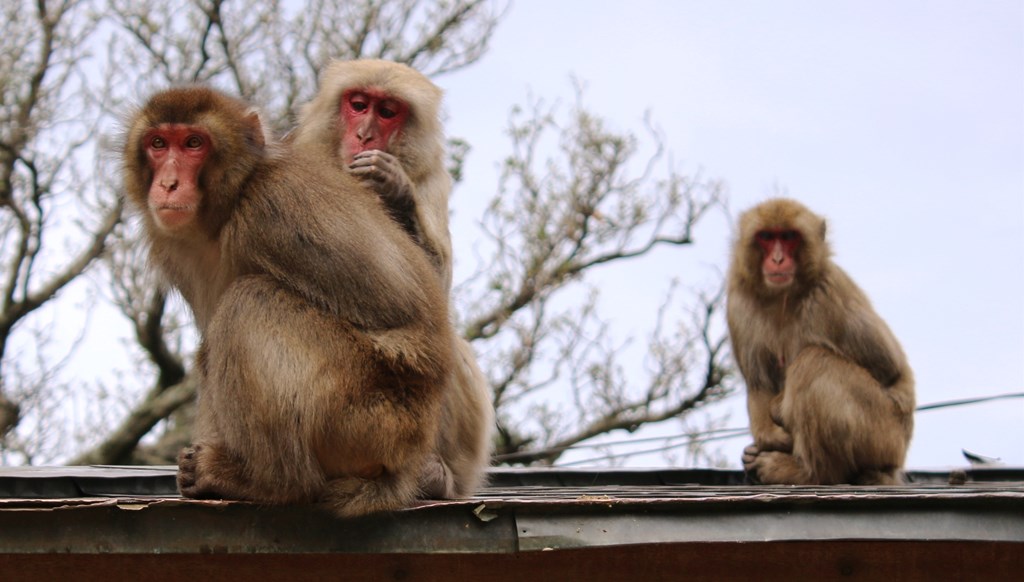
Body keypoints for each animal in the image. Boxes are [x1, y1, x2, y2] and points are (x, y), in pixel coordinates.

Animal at [121, 85, 454, 514]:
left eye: (194, 143)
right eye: (158, 144)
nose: (169, 184)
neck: (234, 198)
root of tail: (408, 457)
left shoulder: (275, 208)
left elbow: (401, 311)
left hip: (365, 417)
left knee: (247, 302)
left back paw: (270, 483)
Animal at [294, 59, 493, 497]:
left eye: (387, 112)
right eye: (358, 104)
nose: (364, 135)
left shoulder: (433, 182)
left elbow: (434, 293)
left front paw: (394, 189)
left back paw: (435, 476)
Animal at [724, 197, 917, 483]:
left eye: (789, 237)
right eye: (767, 237)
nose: (778, 259)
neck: (783, 297)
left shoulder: (828, 295)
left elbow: (890, 369)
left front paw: (778, 410)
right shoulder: (737, 304)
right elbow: (758, 383)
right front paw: (769, 435)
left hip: (885, 434)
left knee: (813, 362)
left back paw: (810, 473)